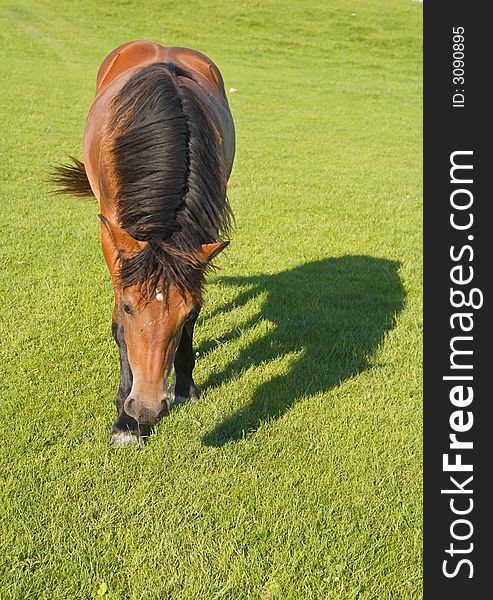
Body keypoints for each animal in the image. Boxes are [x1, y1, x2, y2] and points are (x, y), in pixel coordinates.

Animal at [52, 41, 234, 446]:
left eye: (183, 313)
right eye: (131, 308)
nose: (149, 407)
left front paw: (184, 385)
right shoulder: (113, 238)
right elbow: (119, 327)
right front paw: (125, 421)